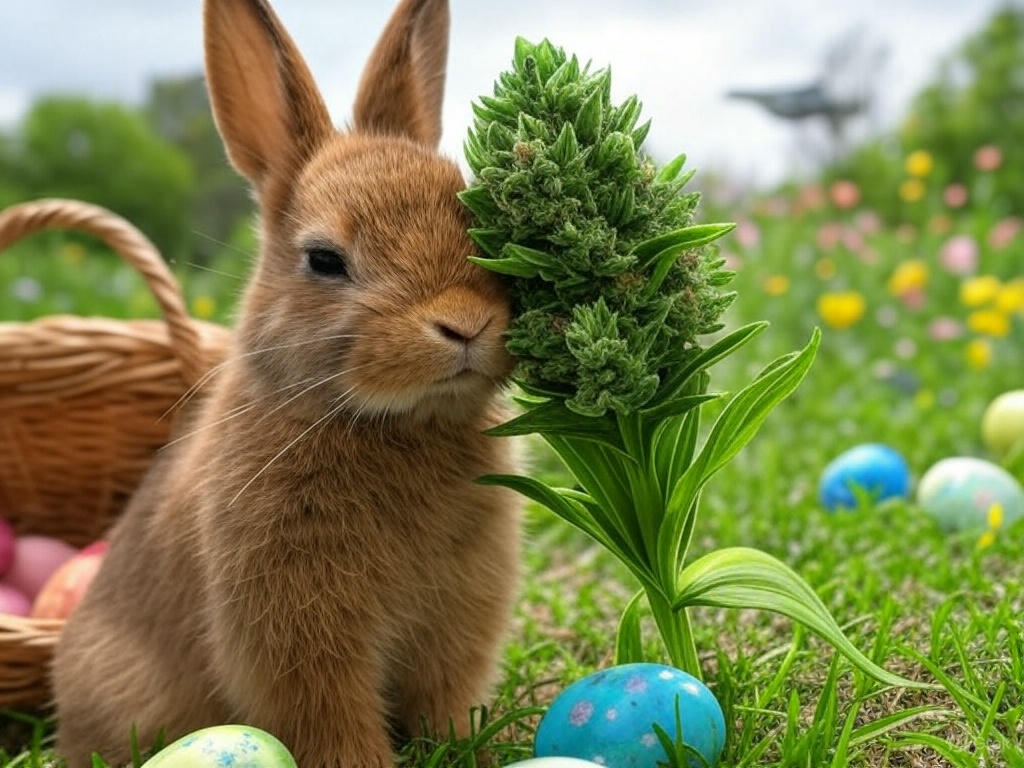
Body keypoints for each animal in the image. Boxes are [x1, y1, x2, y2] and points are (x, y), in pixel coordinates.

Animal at [51, 0, 522, 766]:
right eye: (324, 260)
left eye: (482, 227)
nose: (465, 323)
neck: (396, 423)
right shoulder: (294, 630)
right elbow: (329, 719)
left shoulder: (459, 621)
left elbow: (447, 697)